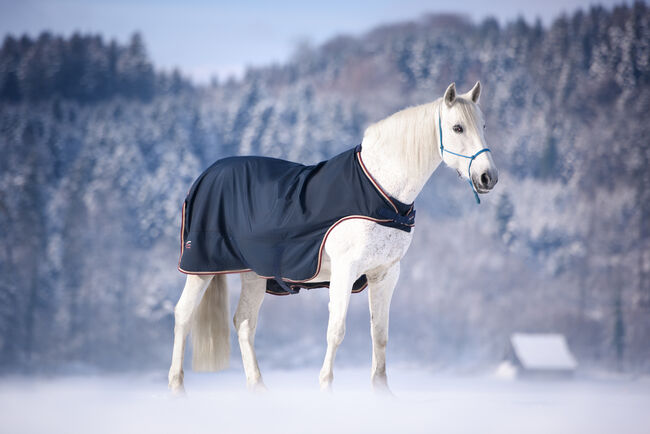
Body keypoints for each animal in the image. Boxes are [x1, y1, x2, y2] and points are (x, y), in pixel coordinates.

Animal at [166, 80, 496, 394]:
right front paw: (326, 388)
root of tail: (207, 173)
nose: (488, 177)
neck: (380, 189)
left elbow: (380, 334)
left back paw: (259, 388)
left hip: (253, 273)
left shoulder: (386, 273)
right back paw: (177, 387)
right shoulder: (345, 269)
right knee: (183, 315)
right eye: (457, 127)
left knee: (244, 323)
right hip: (201, 267)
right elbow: (336, 330)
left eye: (483, 126)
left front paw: (382, 394)